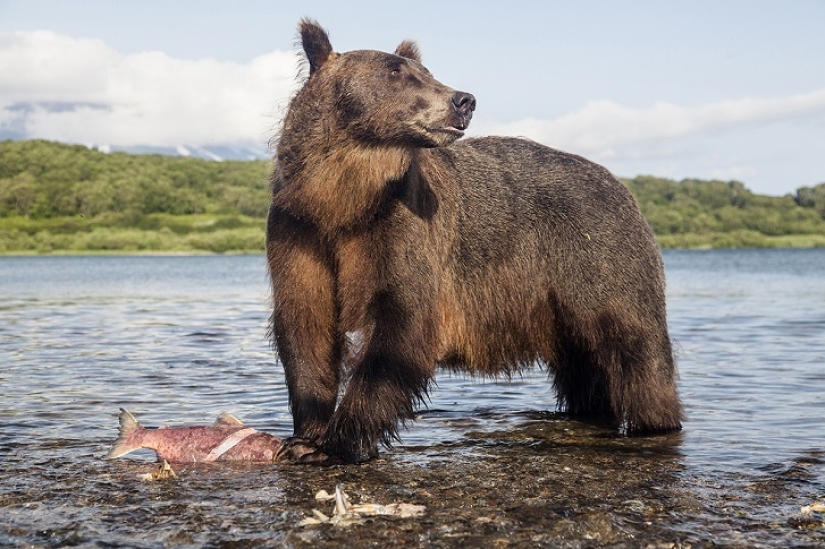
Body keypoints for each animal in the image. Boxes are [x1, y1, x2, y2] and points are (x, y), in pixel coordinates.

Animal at [267, 19, 683, 464]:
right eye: (396, 71)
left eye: (426, 71)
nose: (463, 100)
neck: (343, 199)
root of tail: (620, 184)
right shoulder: (301, 233)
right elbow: (306, 327)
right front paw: (305, 436)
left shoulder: (400, 231)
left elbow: (400, 325)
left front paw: (339, 442)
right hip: (563, 305)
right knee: (585, 368)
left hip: (598, 258)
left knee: (636, 350)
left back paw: (655, 421)